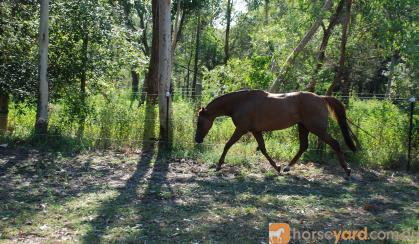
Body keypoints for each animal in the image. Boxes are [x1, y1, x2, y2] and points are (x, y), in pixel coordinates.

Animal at [194, 89, 358, 175]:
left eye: (199, 122)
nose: (197, 139)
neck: (241, 103)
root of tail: (322, 98)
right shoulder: (256, 131)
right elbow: (263, 149)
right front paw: (277, 167)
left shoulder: (241, 129)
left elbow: (227, 145)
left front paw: (218, 165)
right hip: (303, 127)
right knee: (303, 146)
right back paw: (287, 167)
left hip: (317, 129)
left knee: (335, 144)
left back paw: (347, 170)